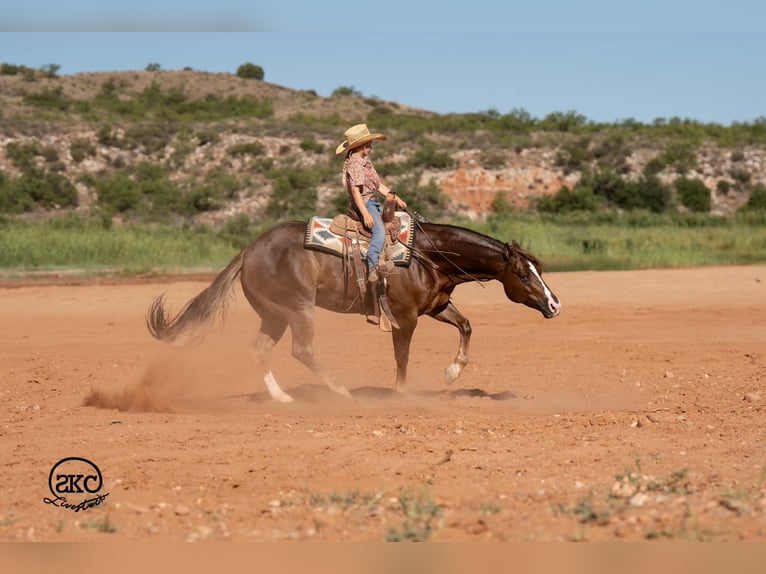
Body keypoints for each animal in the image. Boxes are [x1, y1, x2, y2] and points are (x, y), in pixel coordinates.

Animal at [146, 217, 561, 402]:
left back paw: (283, 399)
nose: (554, 304)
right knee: (303, 349)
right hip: (297, 310)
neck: (426, 255)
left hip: (274, 315)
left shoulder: (437, 306)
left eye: (539, 269)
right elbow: (402, 358)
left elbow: (467, 325)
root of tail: (248, 251)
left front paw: (451, 373)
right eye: (523, 273)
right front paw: (402, 395)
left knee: (260, 349)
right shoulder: (405, 318)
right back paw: (342, 392)